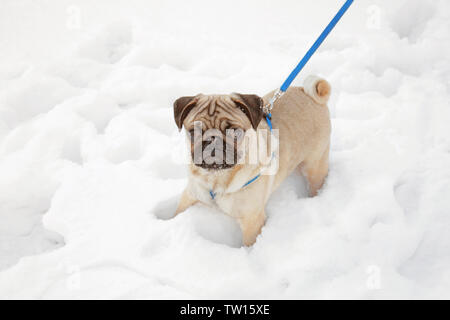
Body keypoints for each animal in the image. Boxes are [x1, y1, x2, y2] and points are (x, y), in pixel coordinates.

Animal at [172, 75, 330, 245]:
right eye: (193, 132)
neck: (217, 178)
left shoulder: (251, 221)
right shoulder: (189, 196)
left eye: (234, 131)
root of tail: (308, 93)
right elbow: (177, 212)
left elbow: (248, 243)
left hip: (314, 167)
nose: (213, 140)